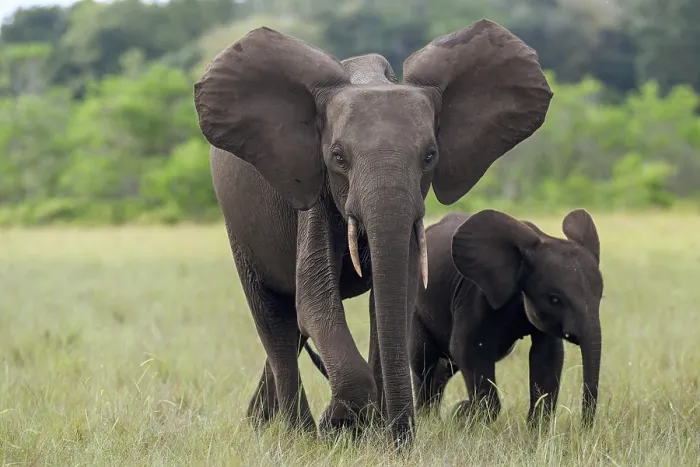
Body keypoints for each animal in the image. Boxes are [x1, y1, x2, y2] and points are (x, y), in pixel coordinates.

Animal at [193, 19, 553, 448]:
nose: (402, 439)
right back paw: (299, 435)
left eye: (430, 156)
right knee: (275, 318)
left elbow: (394, 295)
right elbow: (314, 300)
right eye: (337, 157)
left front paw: (377, 436)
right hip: (238, 224)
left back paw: (260, 423)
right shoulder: (314, 192)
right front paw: (340, 426)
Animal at [405, 209, 603, 427]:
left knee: (445, 365)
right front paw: (463, 413)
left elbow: (547, 355)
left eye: (600, 296)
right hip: (417, 307)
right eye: (554, 299)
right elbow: (468, 349)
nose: (584, 426)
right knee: (423, 360)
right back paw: (428, 419)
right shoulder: (475, 294)